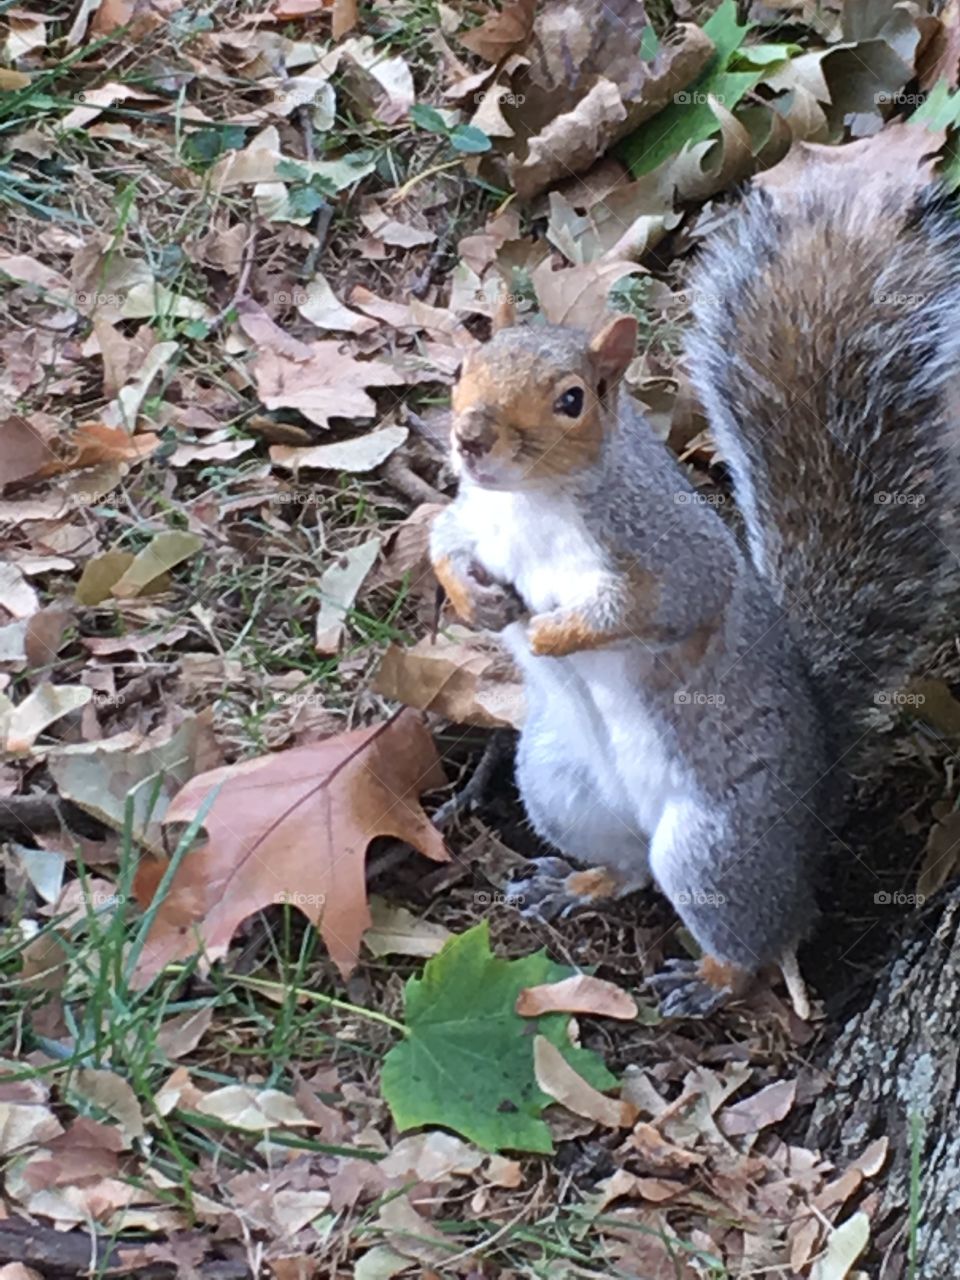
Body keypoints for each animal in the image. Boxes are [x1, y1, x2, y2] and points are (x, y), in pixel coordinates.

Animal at [429, 167, 960, 1019]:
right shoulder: (475, 519)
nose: (469, 438)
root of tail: (819, 795)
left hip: (717, 849)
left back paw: (709, 979)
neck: (533, 503)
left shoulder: (671, 550)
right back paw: (576, 884)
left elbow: (661, 605)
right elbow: (441, 542)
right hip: (558, 787)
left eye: (572, 399)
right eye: (462, 369)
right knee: (632, 868)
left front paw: (550, 635)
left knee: (761, 933)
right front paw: (477, 604)